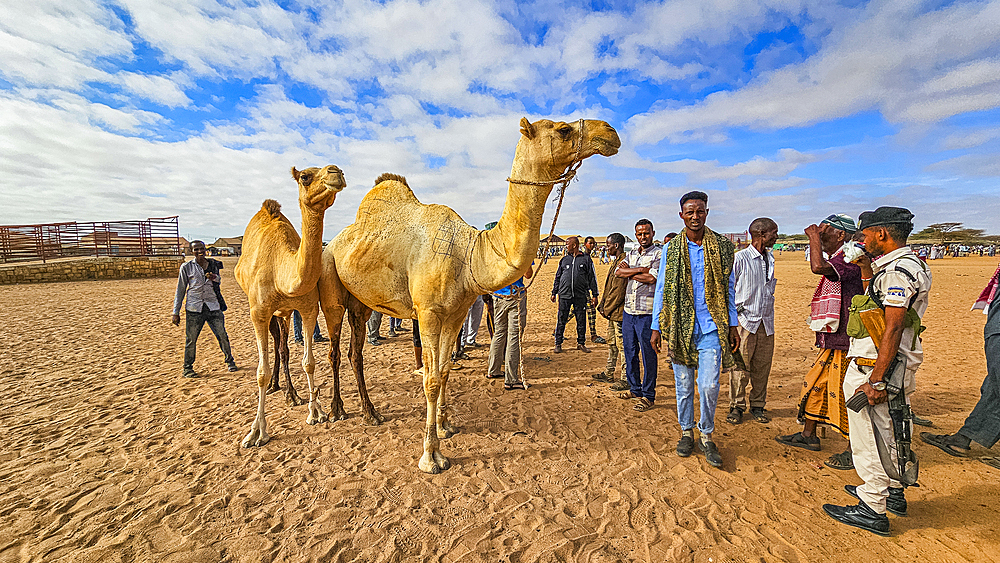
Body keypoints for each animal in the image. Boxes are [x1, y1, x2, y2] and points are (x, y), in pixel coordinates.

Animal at [235, 164, 348, 450]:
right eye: (305, 176)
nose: (336, 171)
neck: (281, 272)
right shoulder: (258, 312)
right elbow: (260, 372)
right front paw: (256, 432)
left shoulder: (308, 309)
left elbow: (308, 362)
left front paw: (316, 412)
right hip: (269, 312)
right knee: (278, 346)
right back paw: (278, 388)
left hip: (285, 313)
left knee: (283, 346)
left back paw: (291, 393)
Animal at [318, 118, 616, 472]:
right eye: (563, 129)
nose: (610, 132)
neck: (469, 253)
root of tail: (333, 242)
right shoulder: (428, 313)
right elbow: (431, 379)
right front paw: (431, 456)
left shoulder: (455, 312)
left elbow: (445, 370)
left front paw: (446, 426)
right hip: (331, 285)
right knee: (335, 350)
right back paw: (336, 411)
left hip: (361, 303)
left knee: (355, 353)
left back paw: (371, 413)